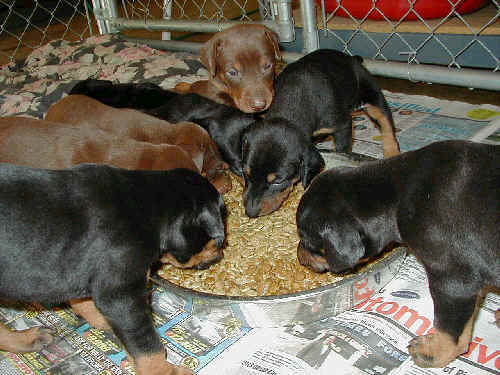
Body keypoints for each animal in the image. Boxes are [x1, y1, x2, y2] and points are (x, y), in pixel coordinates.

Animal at [0, 165, 225, 375]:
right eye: (216, 241)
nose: (221, 253)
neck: (149, 207)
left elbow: (83, 300)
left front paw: (103, 321)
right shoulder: (121, 294)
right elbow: (147, 345)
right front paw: (164, 371)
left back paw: (28, 339)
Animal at [240, 48, 400, 217]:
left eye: (278, 181)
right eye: (245, 173)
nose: (250, 212)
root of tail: (351, 58)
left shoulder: (342, 126)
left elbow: (342, 149)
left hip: (372, 93)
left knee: (386, 122)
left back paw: (392, 152)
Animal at [296, 141, 500, 370]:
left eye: (306, 239)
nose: (299, 257)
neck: (396, 195)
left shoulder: (453, 282)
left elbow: (451, 331)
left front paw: (431, 353)